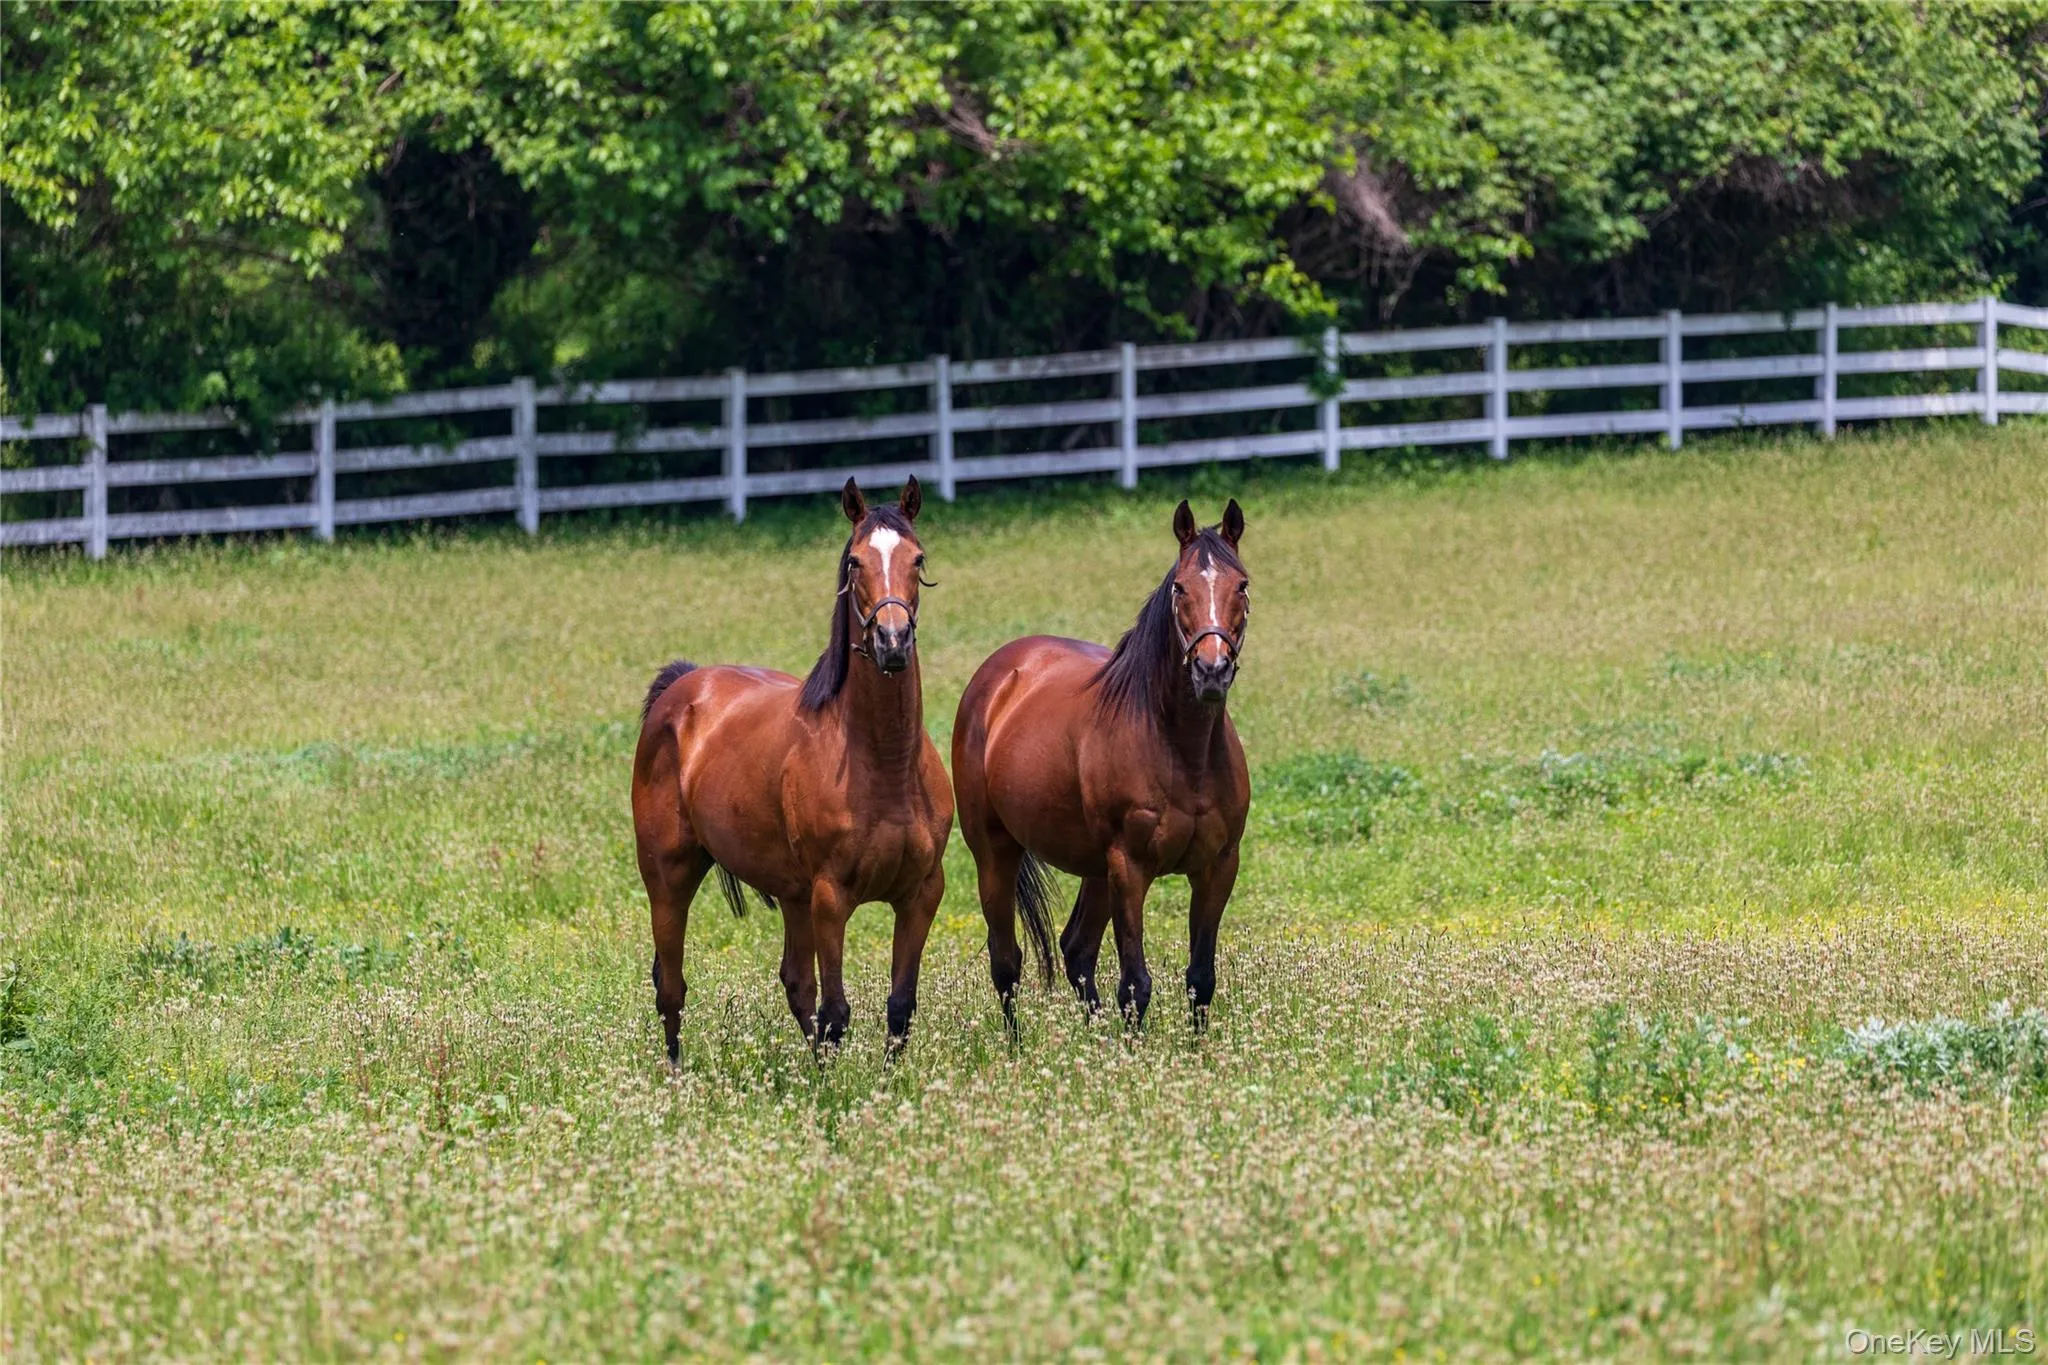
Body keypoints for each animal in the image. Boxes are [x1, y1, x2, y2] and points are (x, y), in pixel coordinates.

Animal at [631, 476, 953, 1058]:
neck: (885, 765)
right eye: (854, 562)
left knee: (795, 983)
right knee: (671, 986)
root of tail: (682, 685)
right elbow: (837, 1013)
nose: (892, 642)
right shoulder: (831, 899)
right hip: (669, 878)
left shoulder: (920, 895)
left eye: (917, 559)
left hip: (792, 896)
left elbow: (898, 1008)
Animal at [952, 498, 1251, 1029]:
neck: (1184, 751)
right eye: (1180, 587)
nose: (1211, 670)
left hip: (1094, 868)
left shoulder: (1218, 866)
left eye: (1242, 584)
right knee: (1006, 964)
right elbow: (1135, 984)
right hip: (994, 853)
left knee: (1076, 950)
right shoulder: (1129, 869)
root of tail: (999, 673)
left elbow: (1200, 979)